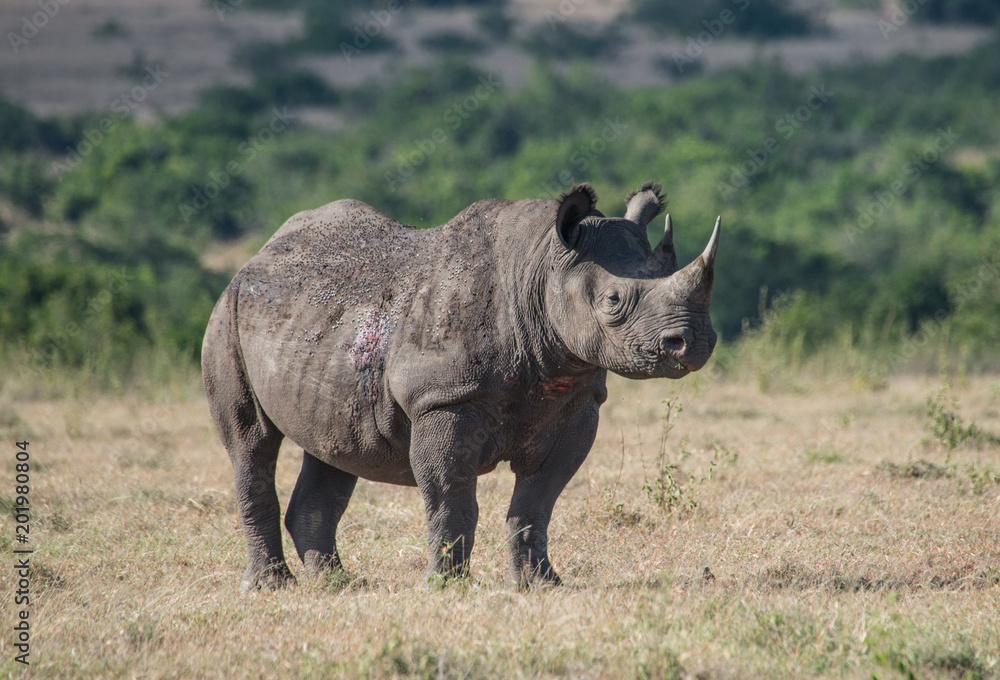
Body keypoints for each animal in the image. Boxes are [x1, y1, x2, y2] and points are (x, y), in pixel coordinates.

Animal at [202, 182, 719, 591]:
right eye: (612, 300)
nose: (692, 341)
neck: (540, 268)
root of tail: (260, 256)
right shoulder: (442, 400)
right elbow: (451, 499)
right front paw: (443, 587)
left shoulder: (577, 401)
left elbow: (536, 503)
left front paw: (541, 586)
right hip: (229, 312)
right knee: (252, 442)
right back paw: (269, 587)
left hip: (322, 329)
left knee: (334, 446)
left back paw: (337, 584)